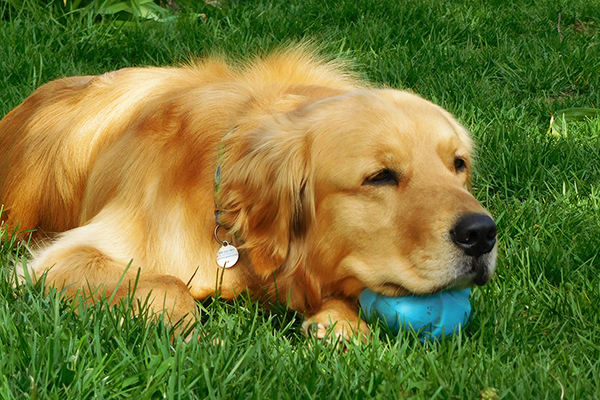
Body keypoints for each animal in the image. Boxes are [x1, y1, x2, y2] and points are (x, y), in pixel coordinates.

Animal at [0, 48, 496, 340]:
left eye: (458, 165)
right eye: (381, 176)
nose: (482, 233)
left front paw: (341, 327)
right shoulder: (57, 262)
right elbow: (167, 286)